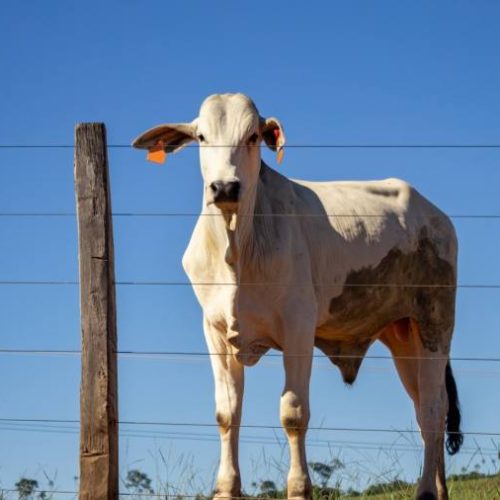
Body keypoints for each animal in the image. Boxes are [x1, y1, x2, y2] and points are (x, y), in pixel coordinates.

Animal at [132, 94, 460, 500]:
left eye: (253, 136)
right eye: (202, 137)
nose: (224, 188)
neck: (237, 247)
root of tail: (434, 214)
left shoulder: (299, 328)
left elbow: (293, 413)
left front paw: (299, 487)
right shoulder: (214, 331)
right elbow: (227, 413)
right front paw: (225, 488)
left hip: (435, 323)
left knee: (432, 409)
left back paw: (426, 490)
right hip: (402, 335)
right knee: (426, 408)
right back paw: (440, 489)